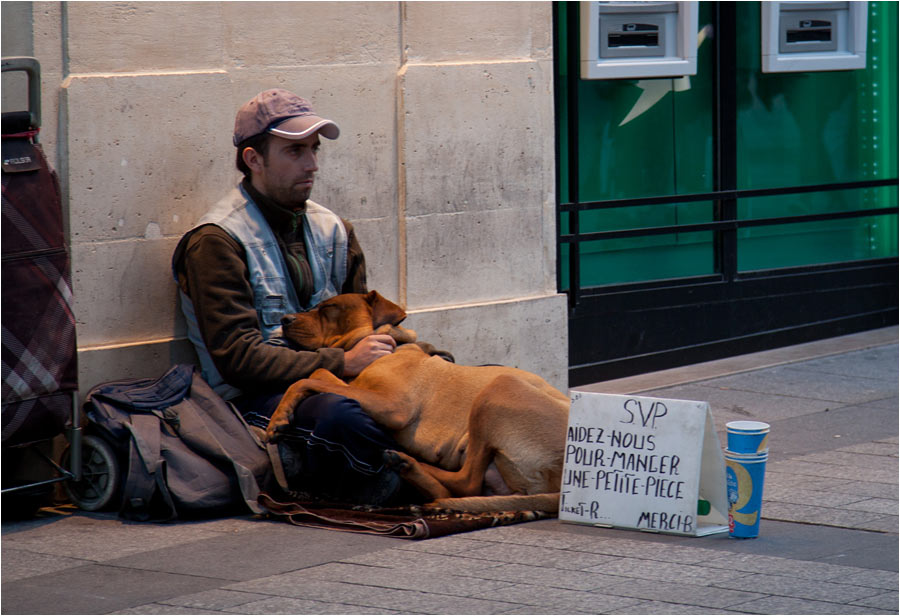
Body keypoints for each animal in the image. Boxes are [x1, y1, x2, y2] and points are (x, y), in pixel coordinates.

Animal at [264, 292, 568, 512]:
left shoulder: (392, 406)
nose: (284, 319)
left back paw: (411, 464)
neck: (389, 345)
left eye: (329, 307)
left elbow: (314, 374)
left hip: (501, 386)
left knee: (467, 483)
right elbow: (319, 375)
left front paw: (278, 418)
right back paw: (408, 469)